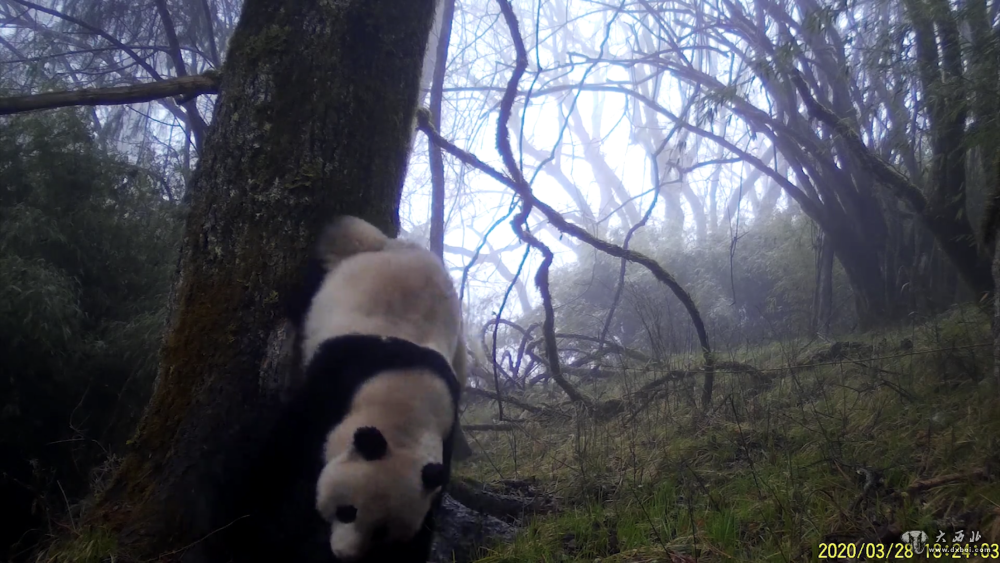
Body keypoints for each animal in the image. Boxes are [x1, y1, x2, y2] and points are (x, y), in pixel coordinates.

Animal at [230, 217, 468, 563]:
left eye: (382, 531)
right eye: (348, 511)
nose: (344, 554)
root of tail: (391, 244)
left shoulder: (445, 433)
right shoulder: (337, 378)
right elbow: (285, 452)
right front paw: (248, 526)